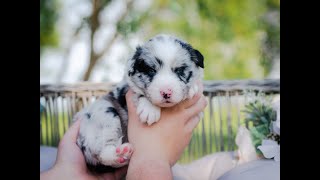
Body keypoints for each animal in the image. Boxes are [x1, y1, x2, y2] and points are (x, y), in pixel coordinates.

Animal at [74, 33, 205, 172]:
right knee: (102, 154)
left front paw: (193, 88)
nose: (166, 92)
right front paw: (149, 110)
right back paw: (120, 154)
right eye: (151, 70)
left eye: (179, 70)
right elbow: (139, 92)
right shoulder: (127, 88)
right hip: (105, 114)